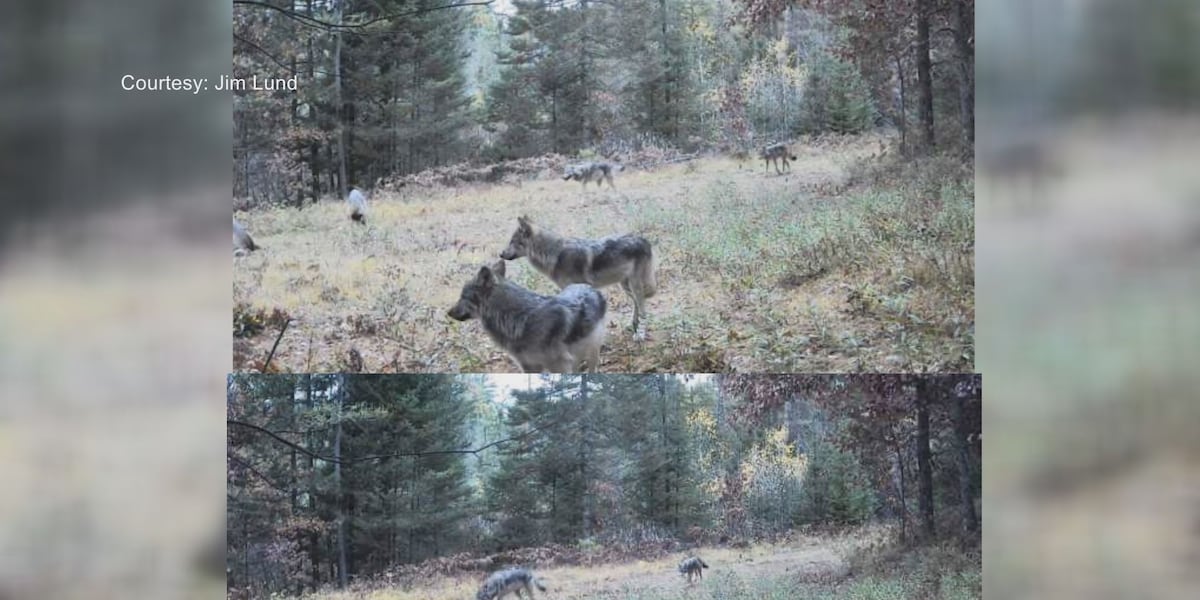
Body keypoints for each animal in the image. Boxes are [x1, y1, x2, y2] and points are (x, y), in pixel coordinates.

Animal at [447, 260, 607, 373]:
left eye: (462, 297)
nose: (448, 312)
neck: (521, 319)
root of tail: (586, 286)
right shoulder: (529, 366)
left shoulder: (559, 365)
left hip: (592, 352)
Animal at [499, 216, 656, 339]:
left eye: (512, 241)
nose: (500, 254)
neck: (555, 256)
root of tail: (644, 240)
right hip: (625, 286)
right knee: (636, 303)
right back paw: (632, 325)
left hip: (635, 285)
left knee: (643, 308)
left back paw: (640, 334)